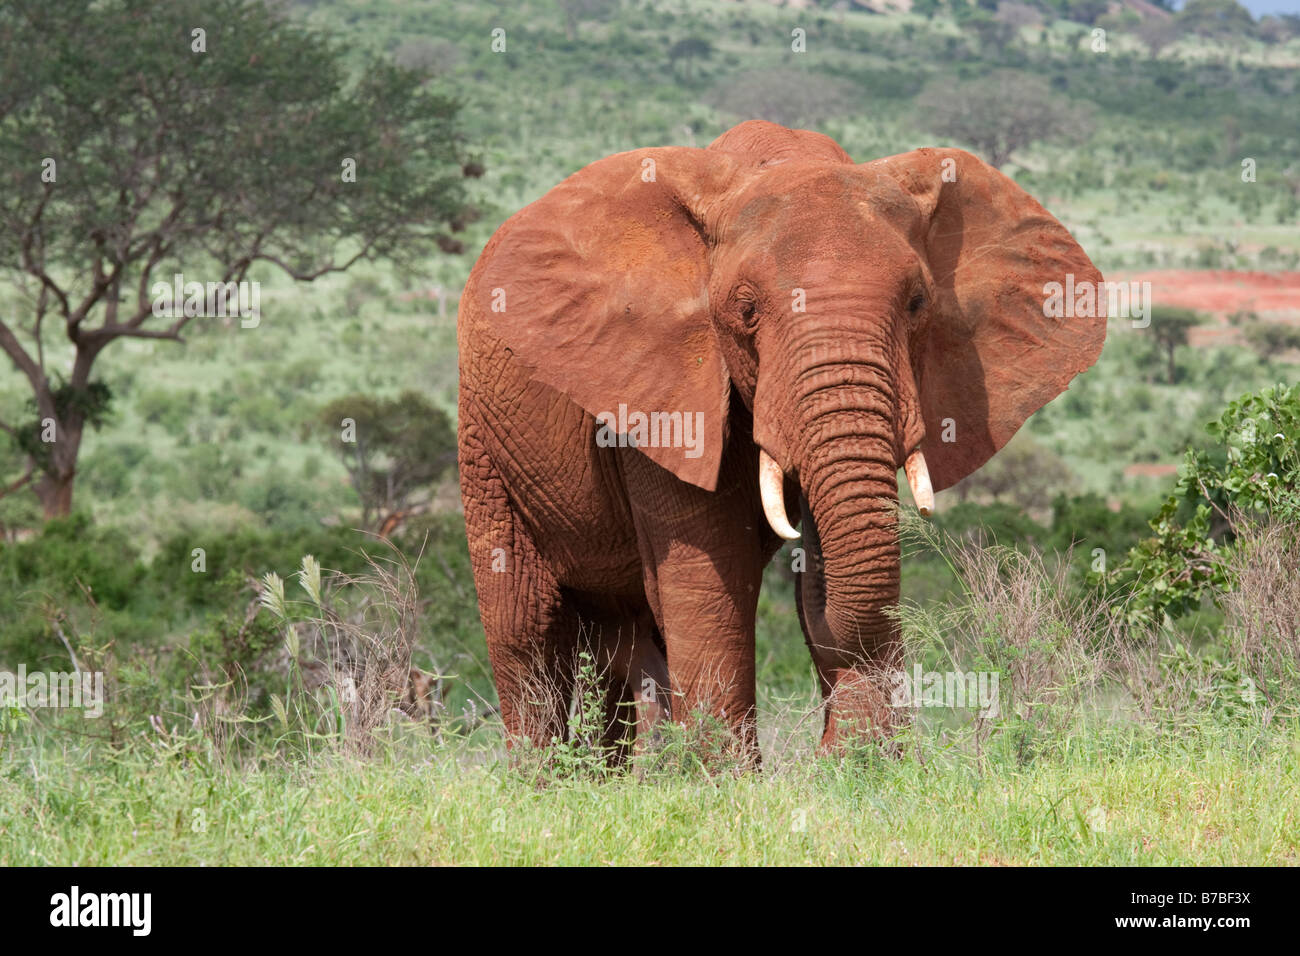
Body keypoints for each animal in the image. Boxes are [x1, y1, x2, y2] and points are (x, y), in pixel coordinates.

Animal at [460, 121, 1107, 764]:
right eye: (745, 310)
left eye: (918, 303)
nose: (823, 748)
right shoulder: (659, 388)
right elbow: (710, 567)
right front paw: (727, 781)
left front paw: (863, 766)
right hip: (481, 440)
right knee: (525, 624)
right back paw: (547, 777)